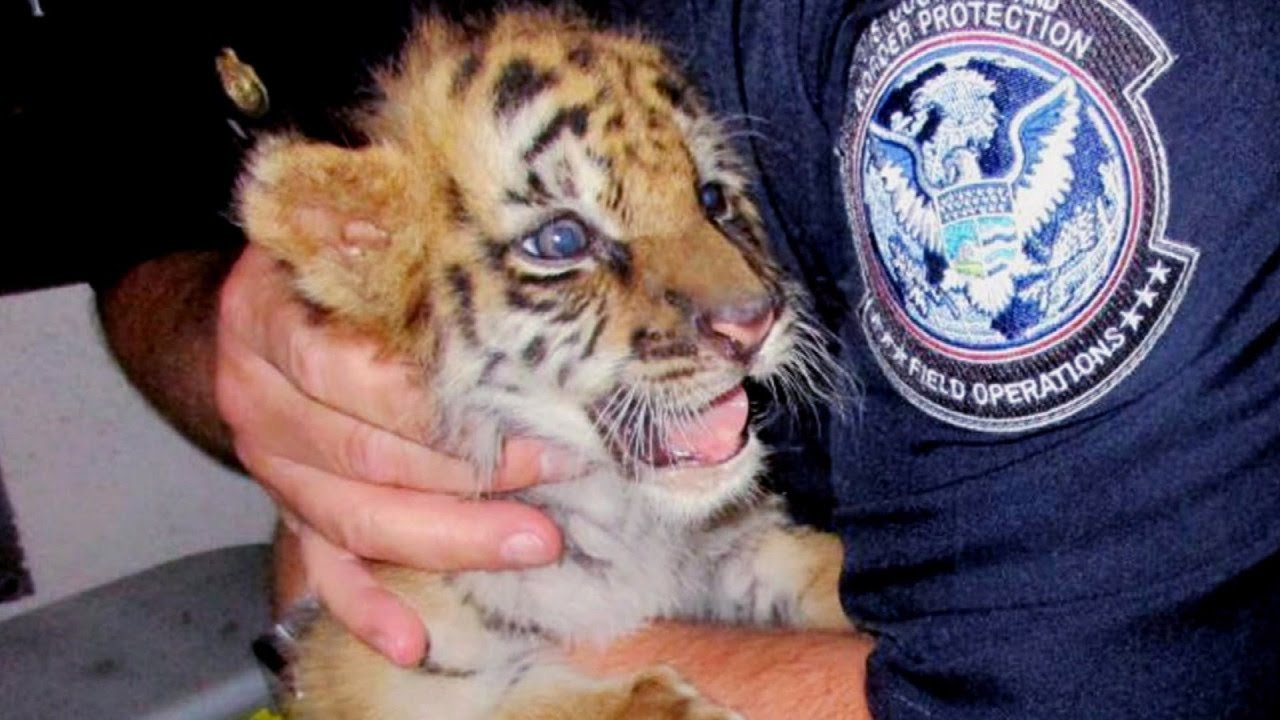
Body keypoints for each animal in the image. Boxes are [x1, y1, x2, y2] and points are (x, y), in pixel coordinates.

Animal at [237, 9, 854, 719]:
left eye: (710, 198)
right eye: (561, 240)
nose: (754, 322)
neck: (621, 520)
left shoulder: (740, 549)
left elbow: (826, 568)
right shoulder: (390, 672)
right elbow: (544, 700)